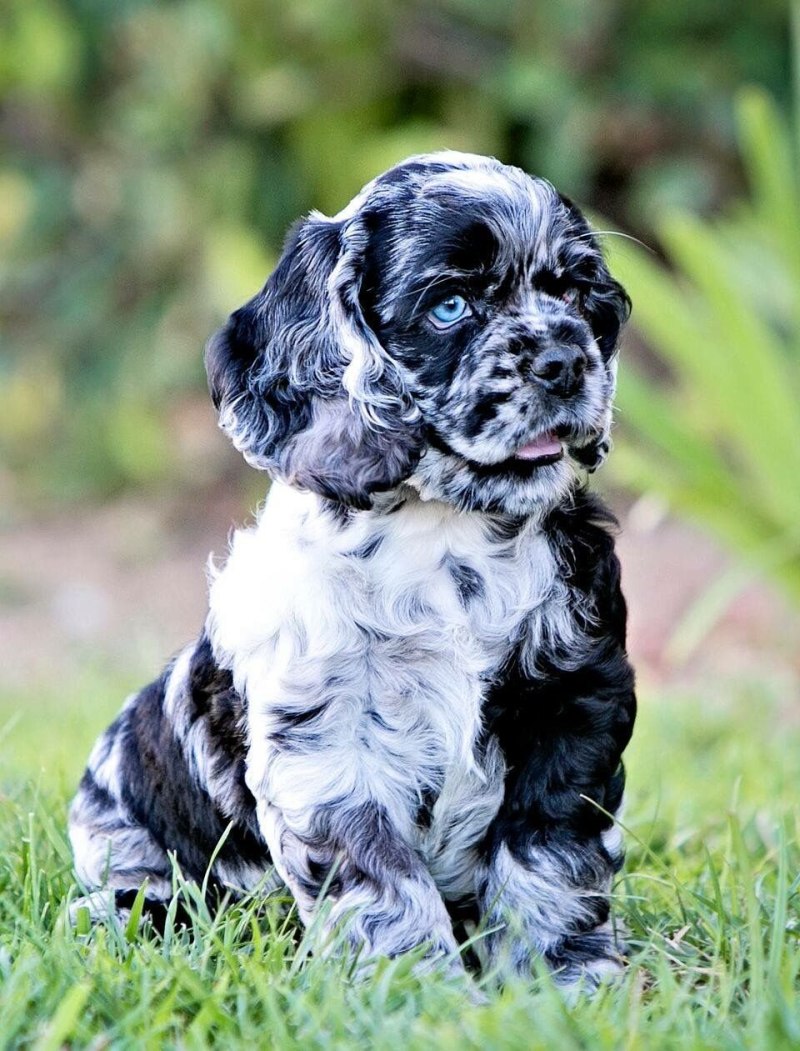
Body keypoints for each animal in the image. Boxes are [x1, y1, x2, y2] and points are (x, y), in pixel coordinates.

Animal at [69, 151, 636, 988]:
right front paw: (419, 993)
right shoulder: (328, 747)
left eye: (573, 292)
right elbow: (383, 883)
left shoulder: (575, 701)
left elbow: (550, 851)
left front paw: (558, 978)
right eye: (450, 306)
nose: (568, 359)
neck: (447, 536)